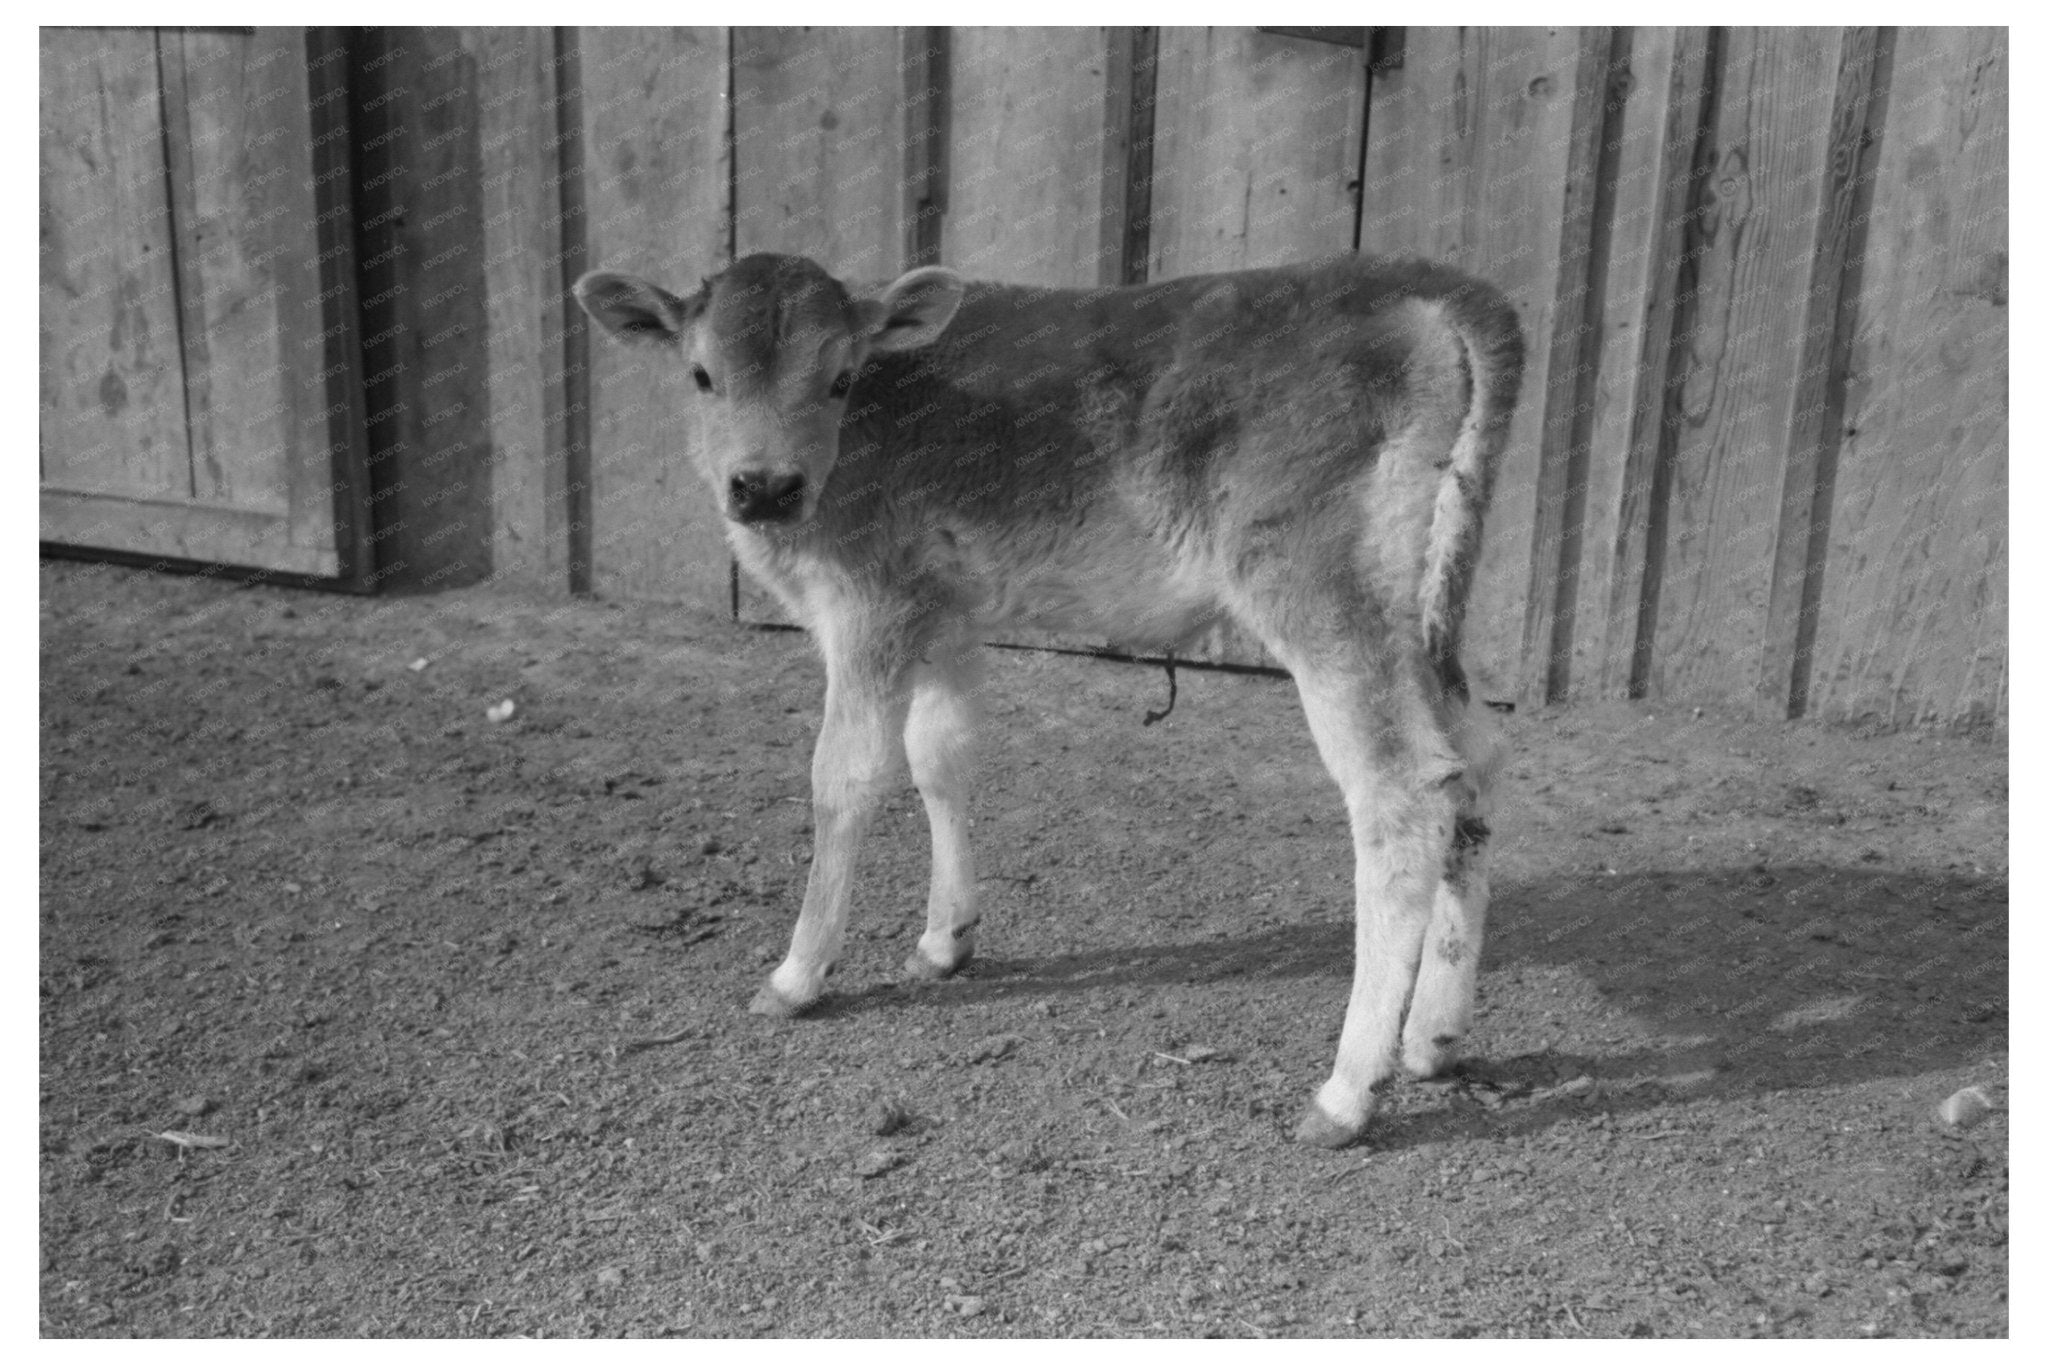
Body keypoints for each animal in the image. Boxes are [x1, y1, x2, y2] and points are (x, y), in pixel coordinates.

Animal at [574, 251, 1523, 1148]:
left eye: (839, 377)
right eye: (702, 374)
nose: (765, 485)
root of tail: (1416, 280)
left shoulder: (868, 606)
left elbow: (843, 777)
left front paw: (797, 974)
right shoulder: (943, 613)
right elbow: (940, 756)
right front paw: (944, 939)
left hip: (1317, 585)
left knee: (1400, 792)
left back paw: (1347, 1092)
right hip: (1422, 610)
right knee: (1472, 765)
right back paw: (1433, 1036)